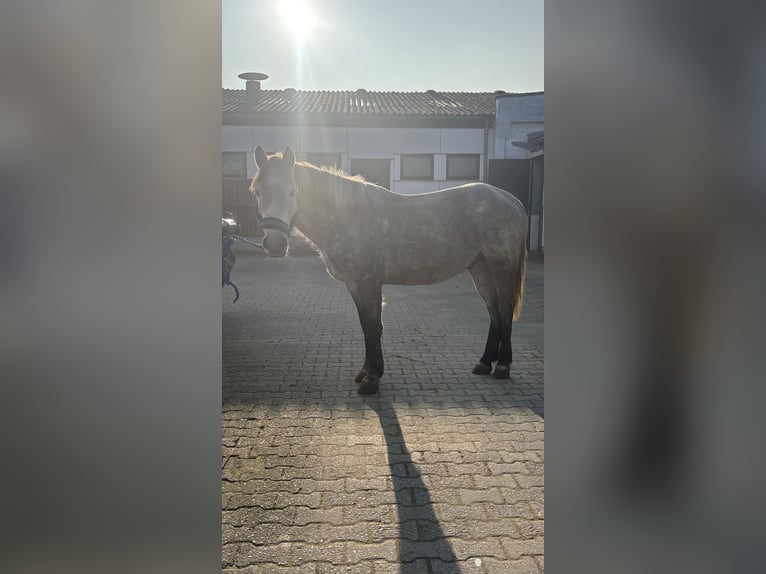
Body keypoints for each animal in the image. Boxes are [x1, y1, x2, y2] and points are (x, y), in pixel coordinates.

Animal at [250, 146, 528, 395]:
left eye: (293, 191)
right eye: (257, 192)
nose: (275, 244)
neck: (347, 217)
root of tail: (510, 200)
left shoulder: (369, 282)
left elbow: (373, 327)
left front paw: (372, 380)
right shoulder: (355, 285)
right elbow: (366, 326)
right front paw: (366, 372)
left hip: (500, 267)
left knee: (504, 310)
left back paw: (502, 366)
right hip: (480, 268)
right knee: (493, 311)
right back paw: (484, 363)